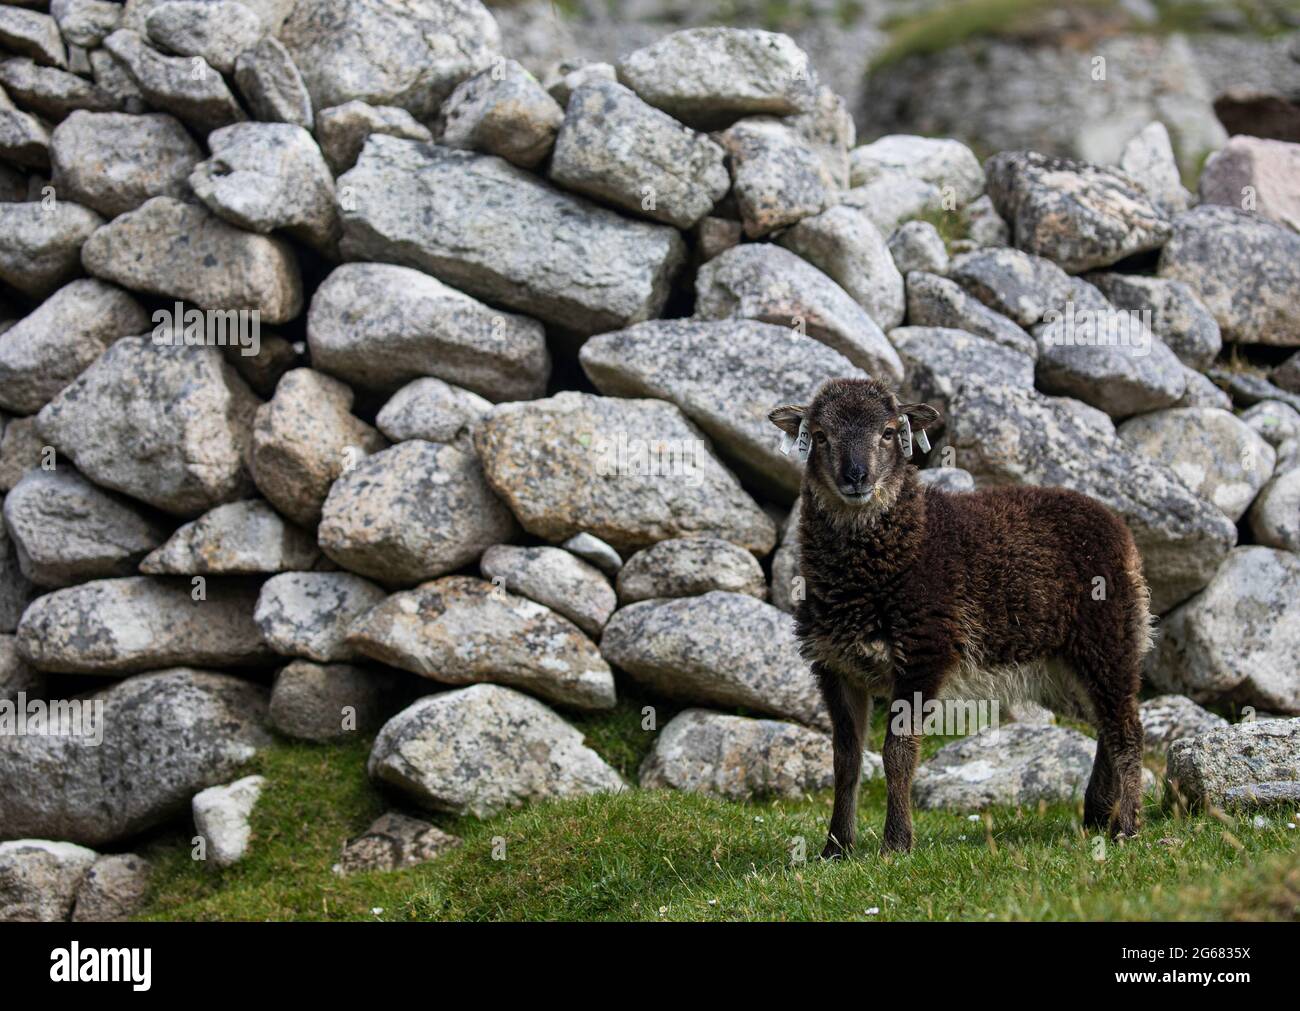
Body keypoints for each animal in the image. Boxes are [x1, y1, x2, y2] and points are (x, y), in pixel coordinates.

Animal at [769, 377, 1152, 857]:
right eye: (820, 436)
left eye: (889, 433)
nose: (856, 477)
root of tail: (1119, 529)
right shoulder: (835, 666)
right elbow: (846, 758)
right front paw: (836, 848)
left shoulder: (923, 654)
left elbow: (897, 753)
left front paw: (896, 844)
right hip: (1065, 662)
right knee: (1105, 724)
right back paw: (1098, 813)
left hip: (1108, 637)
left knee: (1127, 730)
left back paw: (1128, 828)